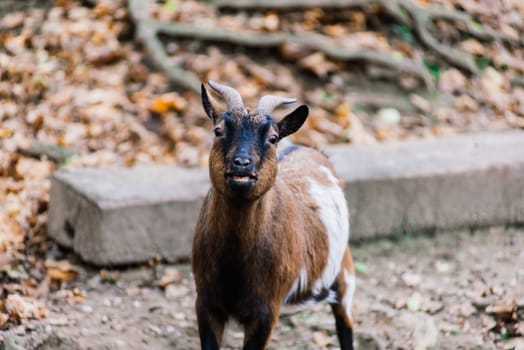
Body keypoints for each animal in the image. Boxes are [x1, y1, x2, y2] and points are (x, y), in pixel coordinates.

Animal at [192, 80, 356, 348]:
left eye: (273, 137)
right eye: (218, 130)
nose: (242, 163)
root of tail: (310, 149)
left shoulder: (266, 312)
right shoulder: (206, 303)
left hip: (344, 270)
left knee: (345, 323)